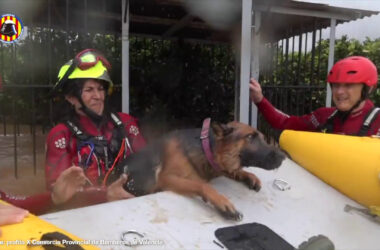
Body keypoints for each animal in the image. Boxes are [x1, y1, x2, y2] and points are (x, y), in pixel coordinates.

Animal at [113, 120, 284, 220]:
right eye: (250, 137)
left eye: (262, 137)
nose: (283, 156)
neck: (205, 147)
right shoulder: (167, 178)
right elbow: (202, 184)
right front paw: (223, 202)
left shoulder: (218, 168)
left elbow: (232, 170)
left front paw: (249, 176)